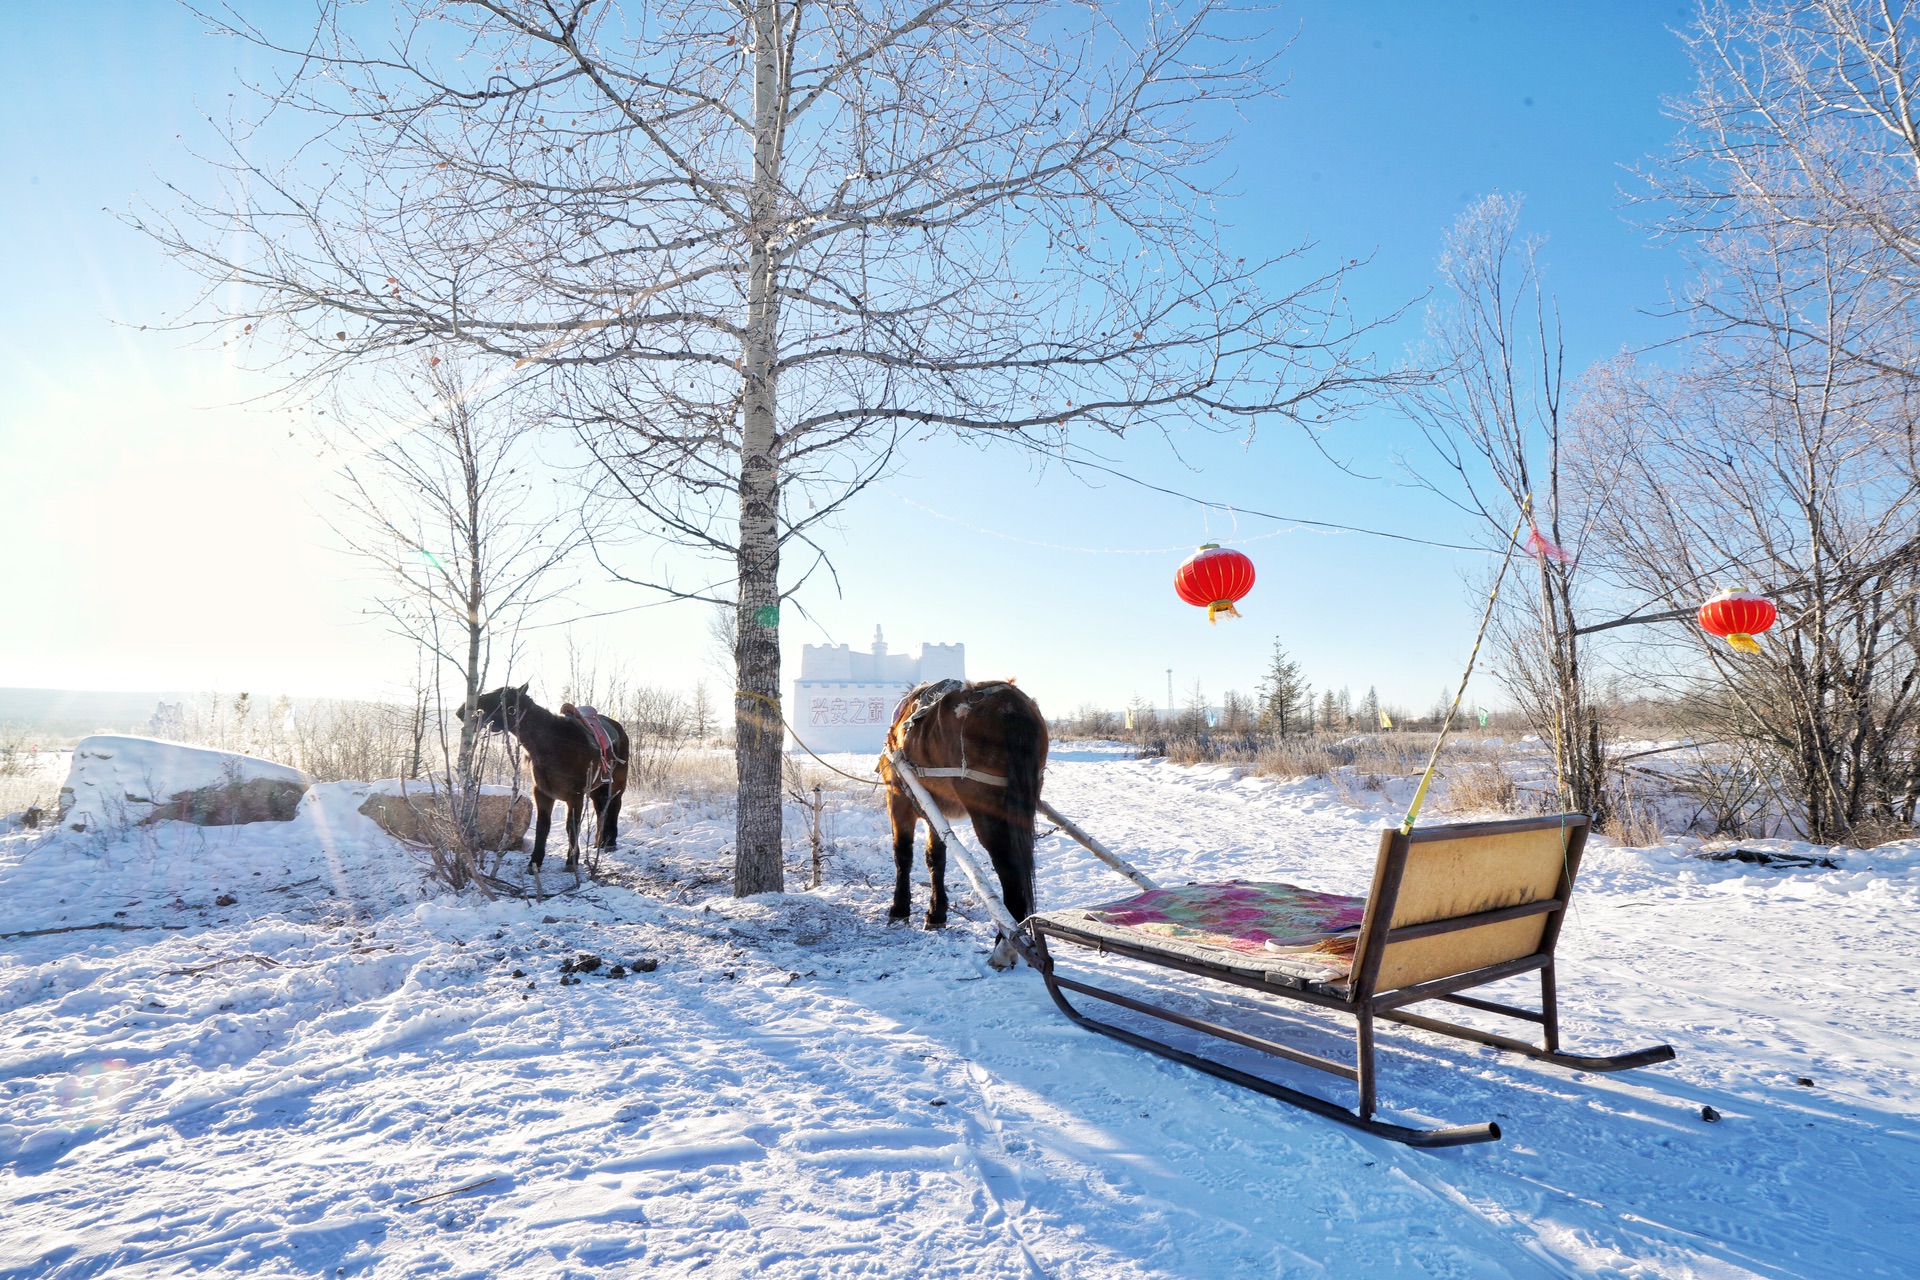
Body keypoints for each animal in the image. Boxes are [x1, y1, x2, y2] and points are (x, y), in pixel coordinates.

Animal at [466, 690, 629, 882]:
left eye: (502, 697)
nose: (463, 711)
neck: (555, 744)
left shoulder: (575, 796)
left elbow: (572, 827)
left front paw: (571, 861)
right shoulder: (543, 794)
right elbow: (542, 827)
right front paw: (534, 862)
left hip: (617, 785)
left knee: (614, 808)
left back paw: (610, 842)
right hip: (597, 789)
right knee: (600, 810)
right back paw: (599, 842)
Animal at [875, 687, 1044, 967]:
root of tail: (1010, 704)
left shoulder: (897, 798)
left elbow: (903, 854)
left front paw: (899, 909)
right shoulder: (934, 808)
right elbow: (935, 858)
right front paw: (936, 913)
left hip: (988, 810)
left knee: (1009, 869)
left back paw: (1005, 944)